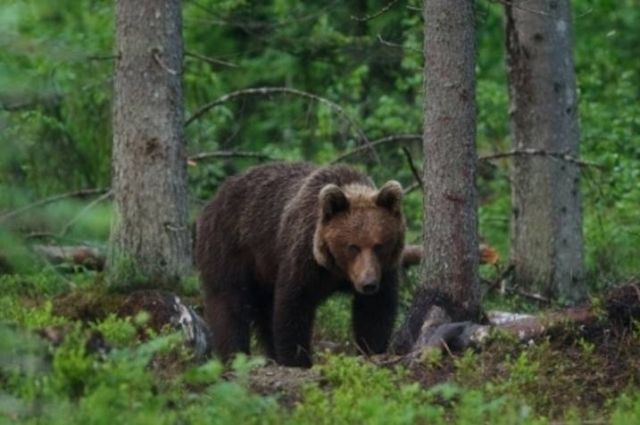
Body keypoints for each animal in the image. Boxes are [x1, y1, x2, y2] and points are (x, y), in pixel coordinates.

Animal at [195, 161, 404, 366]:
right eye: (353, 246)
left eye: (379, 246)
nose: (368, 284)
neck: (337, 270)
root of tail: (216, 197)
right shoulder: (304, 257)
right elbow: (293, 306)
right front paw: (297, 358)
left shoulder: (384, 269)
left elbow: (375, 311)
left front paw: (372, 350)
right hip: (230, 248)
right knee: (229, 303)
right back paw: (234, 355)